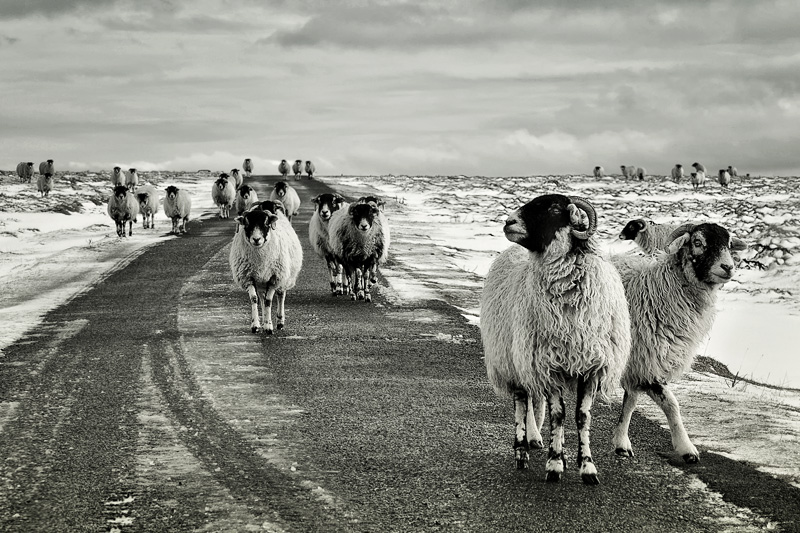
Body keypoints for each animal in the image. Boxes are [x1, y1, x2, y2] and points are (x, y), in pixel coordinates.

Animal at [482, 194, 632, 482]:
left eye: (552, 209)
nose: (508, 222)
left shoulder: (591, 367)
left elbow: (582, 416)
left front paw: (587, 466)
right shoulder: (549, 365)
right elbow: (558, 415)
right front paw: (554, 464)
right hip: (512, 360)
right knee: (521, 402)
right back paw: (521, 452)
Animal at [612, 222, 752, 464]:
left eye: (728, 243)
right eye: (697, 242)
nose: (728, 267)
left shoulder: (640, 362)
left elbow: (630, 403)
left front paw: (621, 443)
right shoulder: (648, 359)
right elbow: (672, 404)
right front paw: (686, 448)